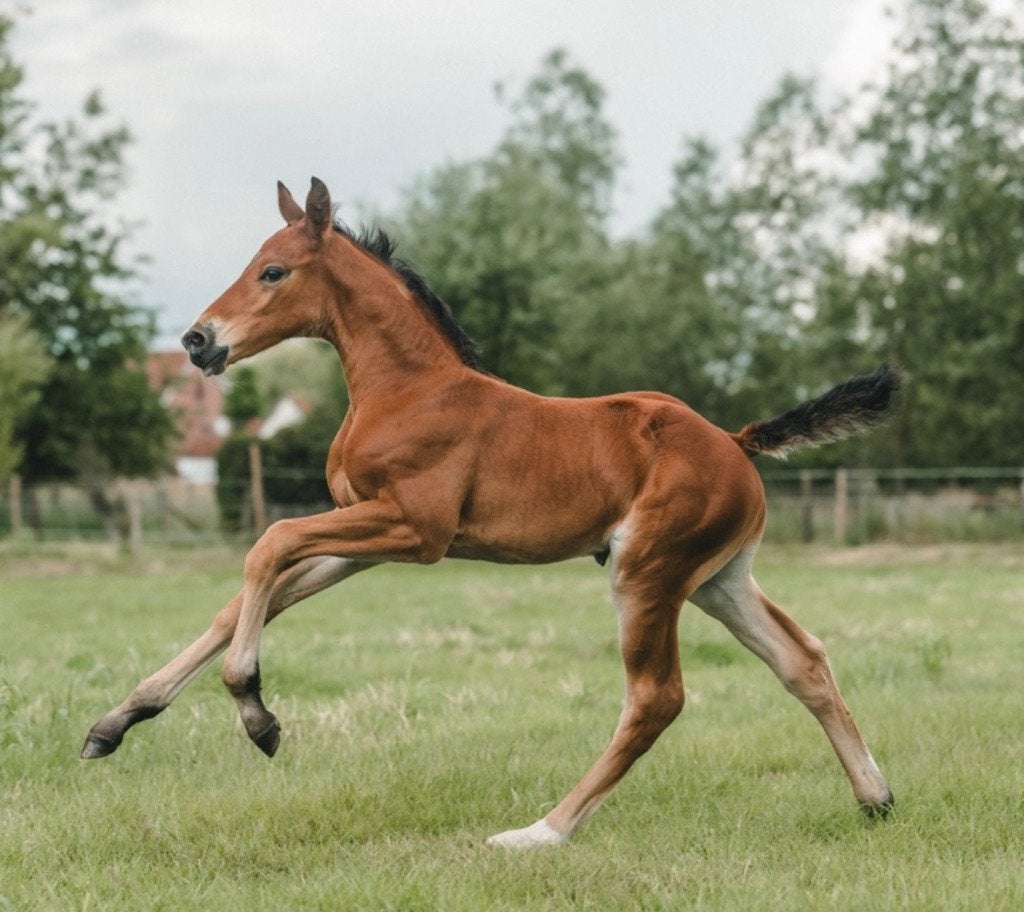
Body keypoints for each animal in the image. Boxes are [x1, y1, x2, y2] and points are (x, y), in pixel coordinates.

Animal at [82, 177, 897, 847]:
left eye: (273, 271)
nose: (197, 340)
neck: (407, 389)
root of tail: (734, 441)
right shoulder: (364, 536)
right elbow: (250, 597)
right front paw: (116, 722)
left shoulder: (416, 530)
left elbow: (268, 543)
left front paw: (256, 713)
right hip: (717, 579)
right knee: (803, 661)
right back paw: (875, 797)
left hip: (646, 573)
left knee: (656, 698)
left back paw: (541, 832)